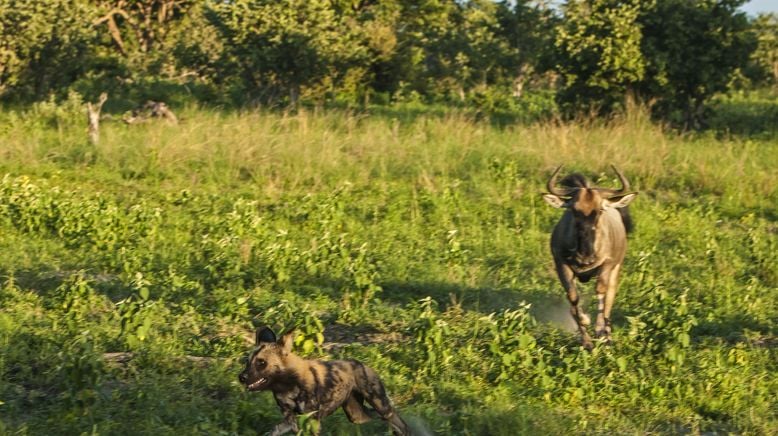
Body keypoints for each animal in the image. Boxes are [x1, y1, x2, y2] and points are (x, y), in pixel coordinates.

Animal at [239, 326, 412, 434]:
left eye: (261, 363)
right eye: (248, 362)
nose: (241, 377)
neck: (287, 384)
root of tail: (363, 364)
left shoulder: (312, 421)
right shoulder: (291, 419)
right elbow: (274, 431)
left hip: (380, 406)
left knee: (399, 421)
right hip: (357, 416)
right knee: (380, 418)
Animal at [544, 165, 632, 350]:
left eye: (599, 210)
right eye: (573, 210)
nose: (586, 257)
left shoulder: (607, 265)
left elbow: (600, 292)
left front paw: (599, 330)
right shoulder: (561, 265)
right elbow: (573, 298)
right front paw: (586, 338)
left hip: (616, 269)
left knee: (609, 300)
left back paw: (607, 335)